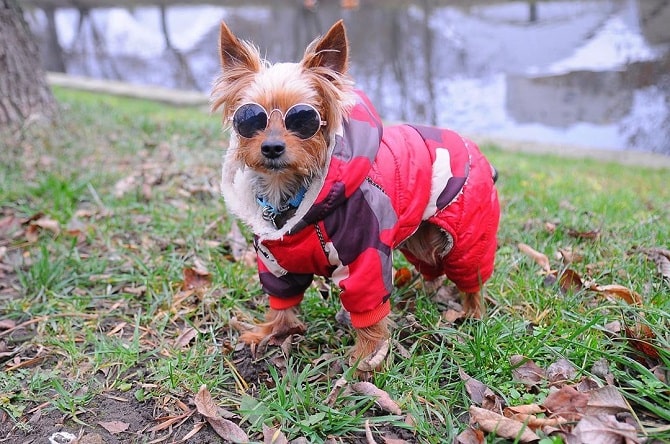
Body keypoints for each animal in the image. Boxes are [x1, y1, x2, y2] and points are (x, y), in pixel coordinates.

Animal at [213, 20, 502, 374]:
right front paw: (270, 331)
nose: (271, 147)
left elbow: (368, 308)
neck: (295, 195)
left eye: (305, 119)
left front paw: (368, 356)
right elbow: (282, 297)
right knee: (431, 264)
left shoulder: (366, 254)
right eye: (249, 119)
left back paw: (473, 314)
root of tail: (471, 145)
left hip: (468, 236)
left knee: (470, 275)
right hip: (419, 236)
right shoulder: (276, 260)